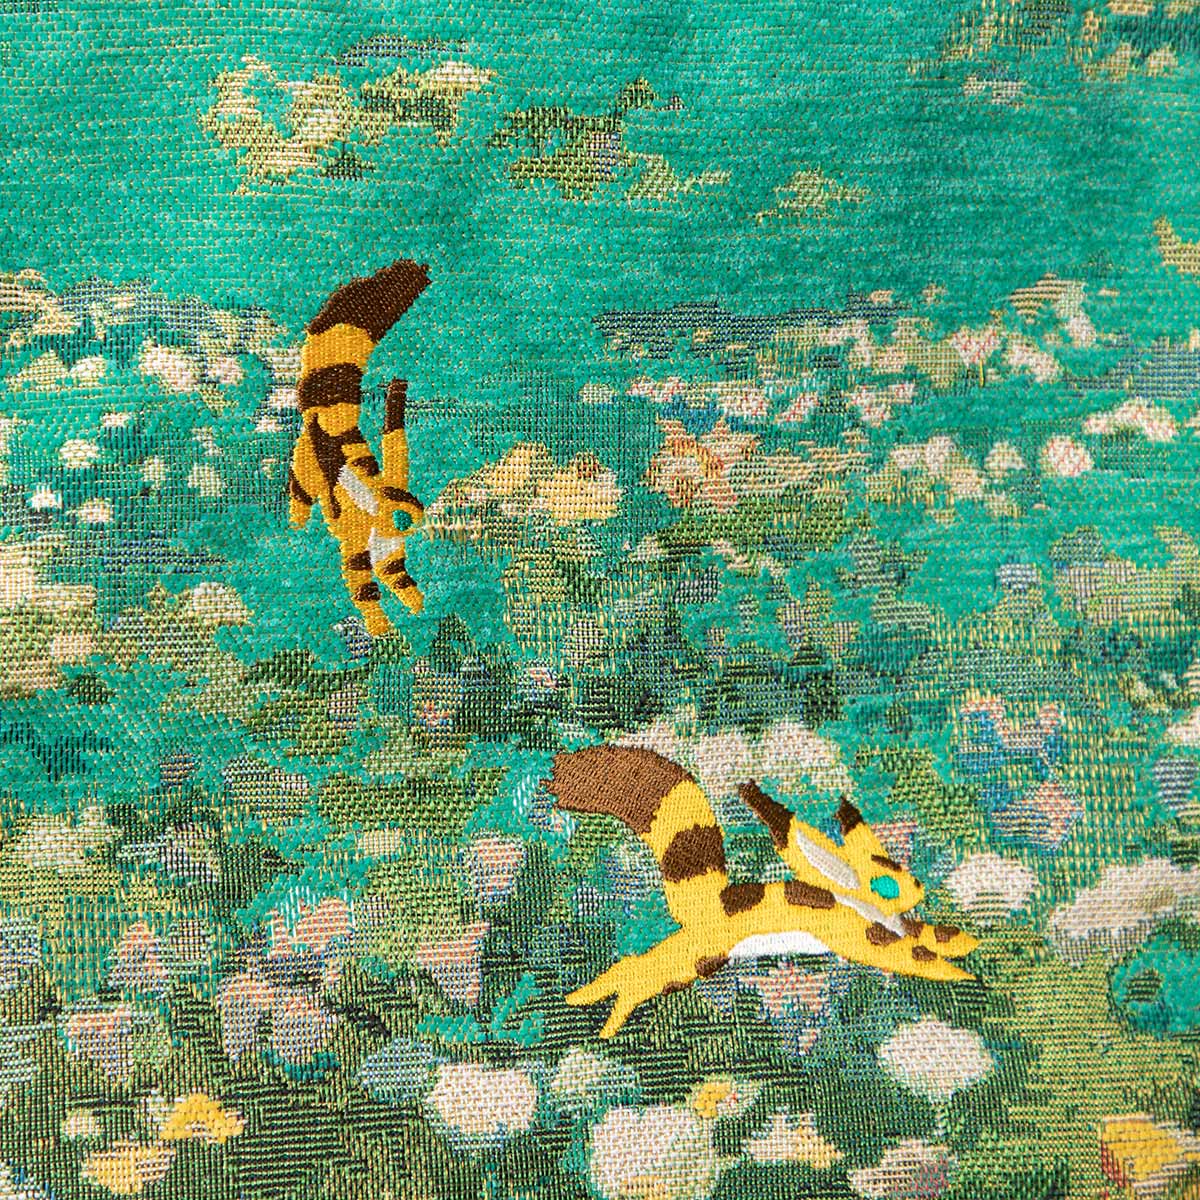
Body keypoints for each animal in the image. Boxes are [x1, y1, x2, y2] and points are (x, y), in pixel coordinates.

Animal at [547, 745, 979, 1038]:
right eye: (885, 884)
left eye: (902, 871)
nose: (919, 886)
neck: (852, 898)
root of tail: (712, 903)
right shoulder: (854, 929)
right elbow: (904, 952)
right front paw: (953, 971)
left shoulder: (896, 923)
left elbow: (924, 934)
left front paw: (957, 940)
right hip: (705, 947)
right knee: (662, 966)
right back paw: (620, 989)